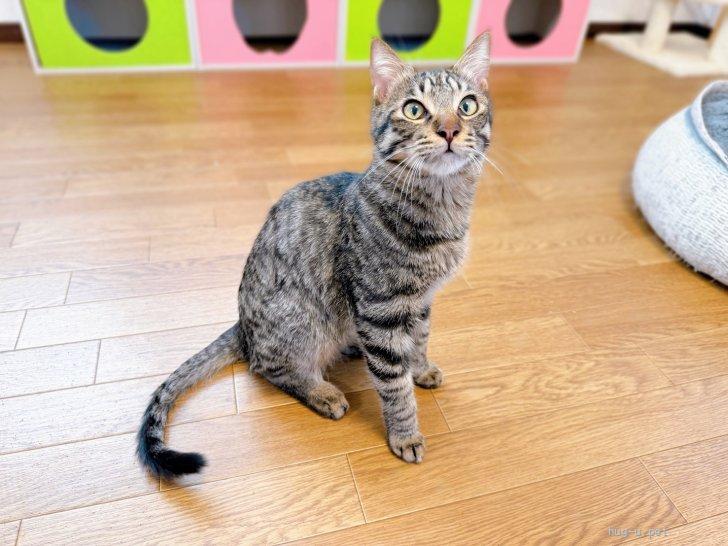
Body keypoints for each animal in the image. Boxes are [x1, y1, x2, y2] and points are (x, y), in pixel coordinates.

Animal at [137, 32, 492, 478]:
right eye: (414, 109)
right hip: (304, 322)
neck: (441, 207)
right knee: (267, 366)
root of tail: (242, 327)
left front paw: (420, 366)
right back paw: (322, 391)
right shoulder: (380, 307)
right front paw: (405, 433)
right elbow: (394, 385)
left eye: (467, 105)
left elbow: (420, 338)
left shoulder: (419, 300)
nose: (449, 129)